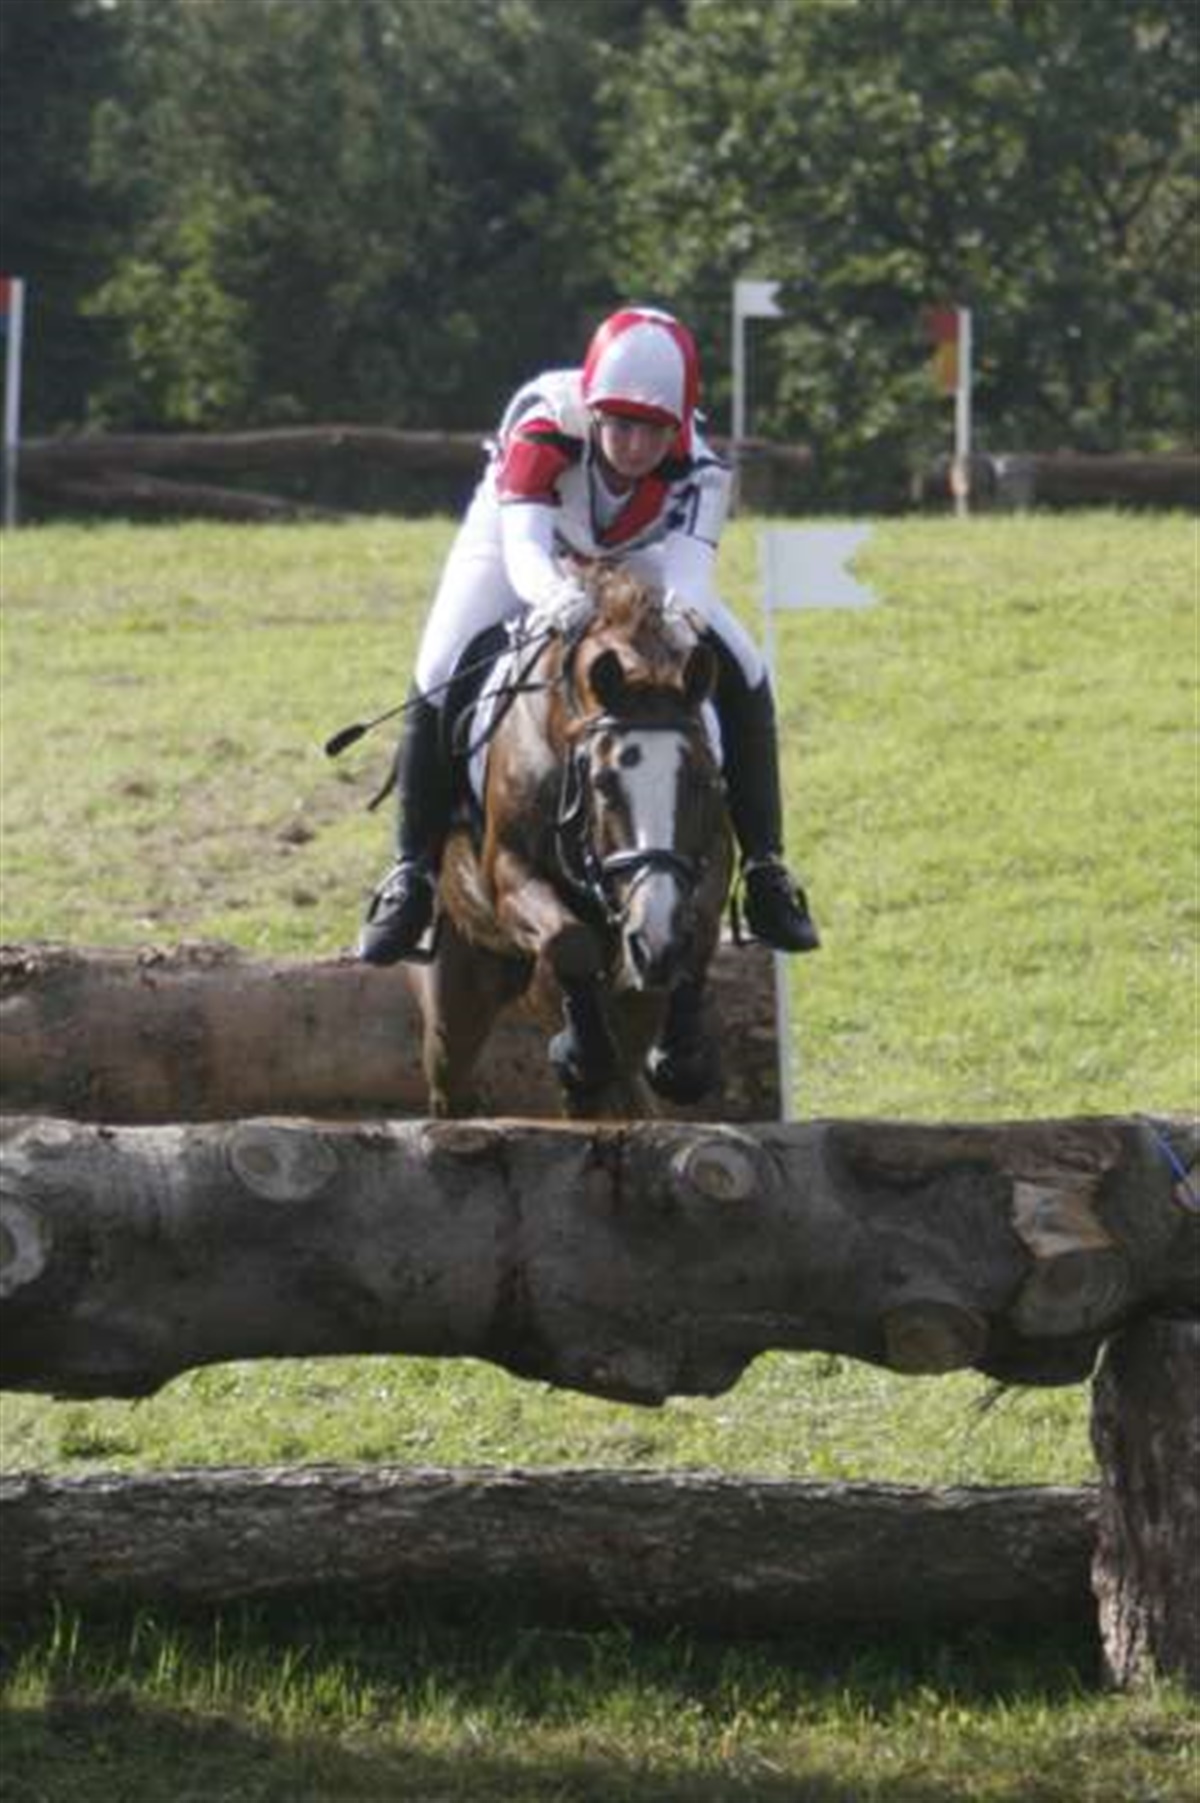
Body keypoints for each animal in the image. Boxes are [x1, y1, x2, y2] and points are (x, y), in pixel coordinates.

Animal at [413, 565, 735, 1119]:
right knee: (454, 1075)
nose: (653, 941)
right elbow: (569, 940)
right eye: (603, 783)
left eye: (700, 781)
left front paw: (682, 1059)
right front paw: (580, 1056)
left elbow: (701, 928)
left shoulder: (710, 857)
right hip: (455, 995)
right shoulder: (510, 870)